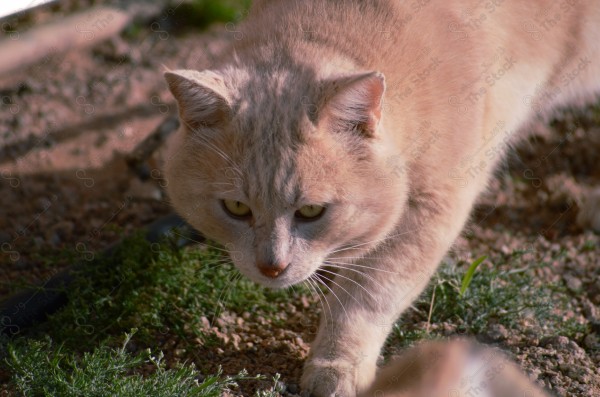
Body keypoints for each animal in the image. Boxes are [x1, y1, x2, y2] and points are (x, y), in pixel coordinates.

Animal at [162, 0, 596, 394]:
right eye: (236, 208)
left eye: (311, 211)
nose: (272, 267)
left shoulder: (432, 205)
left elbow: (367, 294)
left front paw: (338, 363)